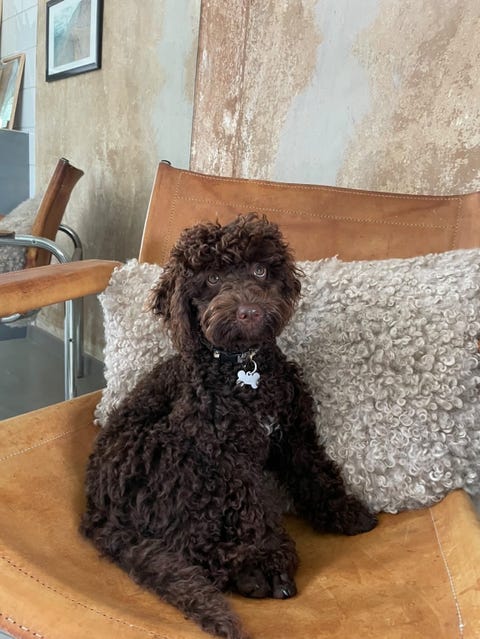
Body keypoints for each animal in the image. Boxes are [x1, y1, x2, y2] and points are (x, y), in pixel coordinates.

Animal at [81, 214, 377, 639]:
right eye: (213, 279)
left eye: (260, 271)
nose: (249, 311)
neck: (243, 372)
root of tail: (95, 510)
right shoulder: (227, 460)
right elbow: (253, 511)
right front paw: (267, 559)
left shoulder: (295, 434)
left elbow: (317, 472)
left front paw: (345, 512)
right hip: (174, 454)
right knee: (188, 545)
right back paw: (251, 573)